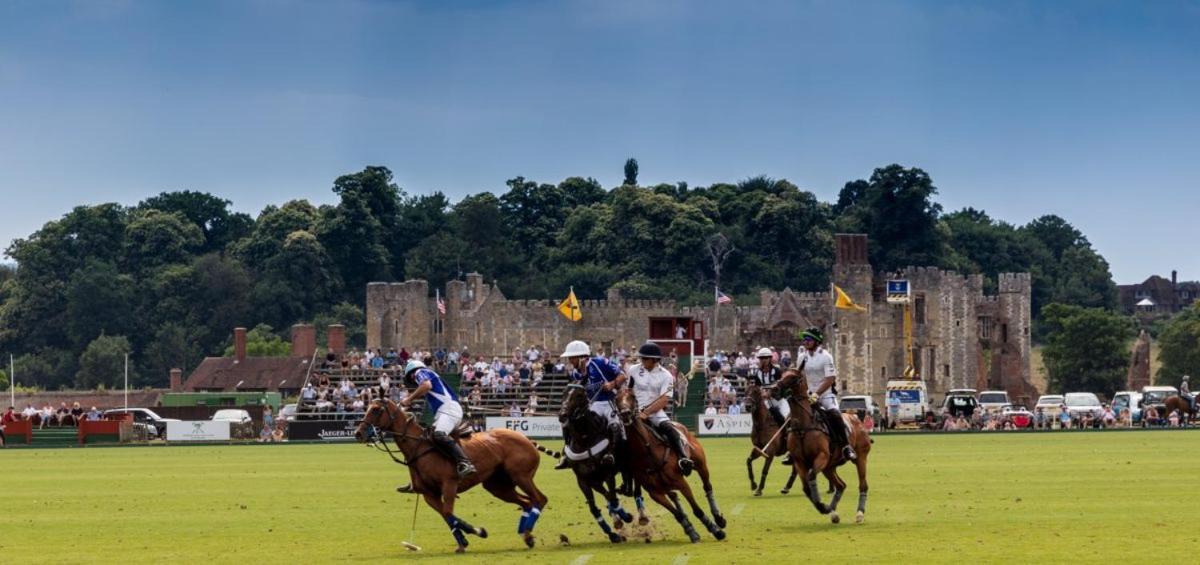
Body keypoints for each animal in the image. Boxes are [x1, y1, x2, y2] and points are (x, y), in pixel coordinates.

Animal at [352, 400, 554, 554]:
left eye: (376, 409)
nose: (358, 433)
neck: (419, 448)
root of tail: (526, 438)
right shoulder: (429, 494)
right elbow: (446, 515)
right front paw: (464, 540)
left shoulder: (449, 484)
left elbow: (449, 512)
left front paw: (476, 533)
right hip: (497, 485)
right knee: (527, 502)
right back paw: (526, 536)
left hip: (521, 475)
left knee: (539, 499)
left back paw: (527, 533)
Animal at [614, 388, 724, 544]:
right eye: (616, 398)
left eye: (632, 396)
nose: (625, 414)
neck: (647, 452)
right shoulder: (655, 492)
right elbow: (677, 514)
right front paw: (692, 532)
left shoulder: (681, 482)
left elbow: (697, 510)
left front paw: (715, 530)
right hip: (666, 485)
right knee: (674, 496)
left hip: (701, 464)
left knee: (707, 486)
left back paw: (719, 519)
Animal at [772, 371, 878, 525]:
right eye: (782, 374)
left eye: (793, 377)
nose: (773, 389)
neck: (803, 426)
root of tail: (856, 418)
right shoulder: (799, 462)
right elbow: (806, 488)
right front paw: (824, 507)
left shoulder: (821, 456)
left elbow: (811, 477)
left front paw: (823, 506)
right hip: (829, 466)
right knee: (841, 485)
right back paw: (833, 512)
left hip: (860, 458)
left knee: (863, 485)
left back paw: (859, 514)